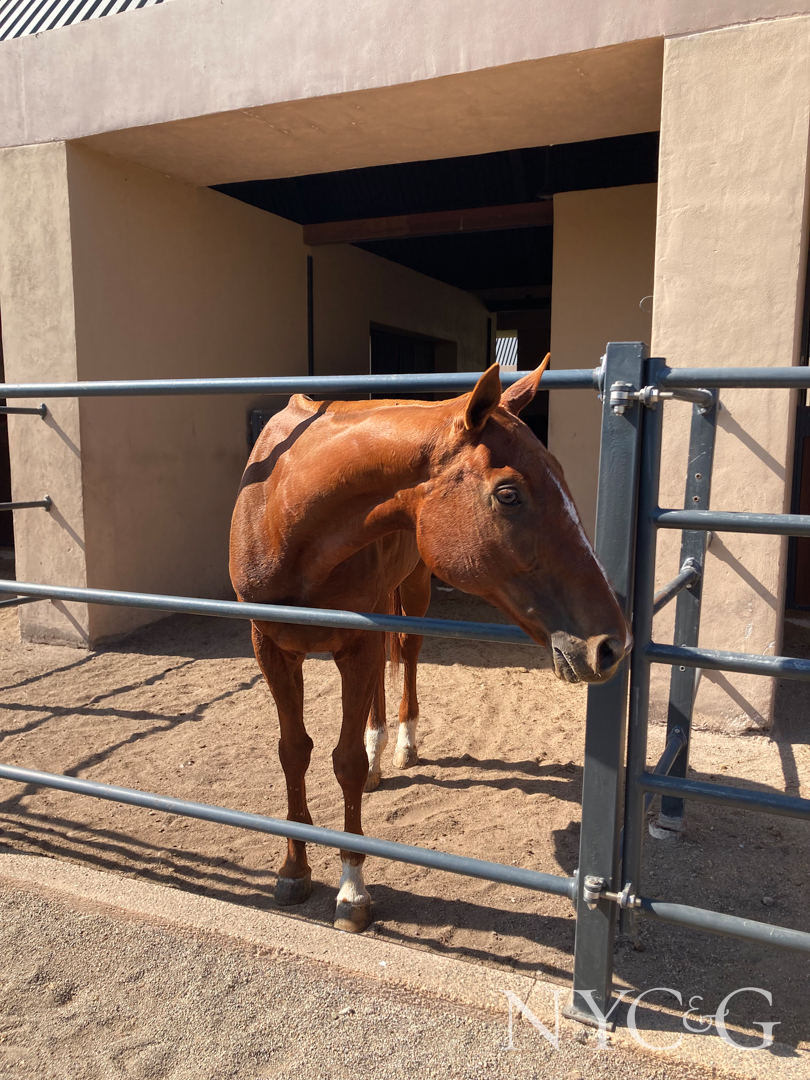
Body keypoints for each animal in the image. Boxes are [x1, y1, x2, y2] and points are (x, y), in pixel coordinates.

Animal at [229, 358, 630, 932]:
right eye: (509, 494)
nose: (611, 644)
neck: (287, 515)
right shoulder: (271, 648)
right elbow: (294, 752)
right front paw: (293, 870)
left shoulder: (355, 643)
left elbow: (345, 760)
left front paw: (351, 891)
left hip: (412, 592)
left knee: (408, 655)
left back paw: (399, 745)